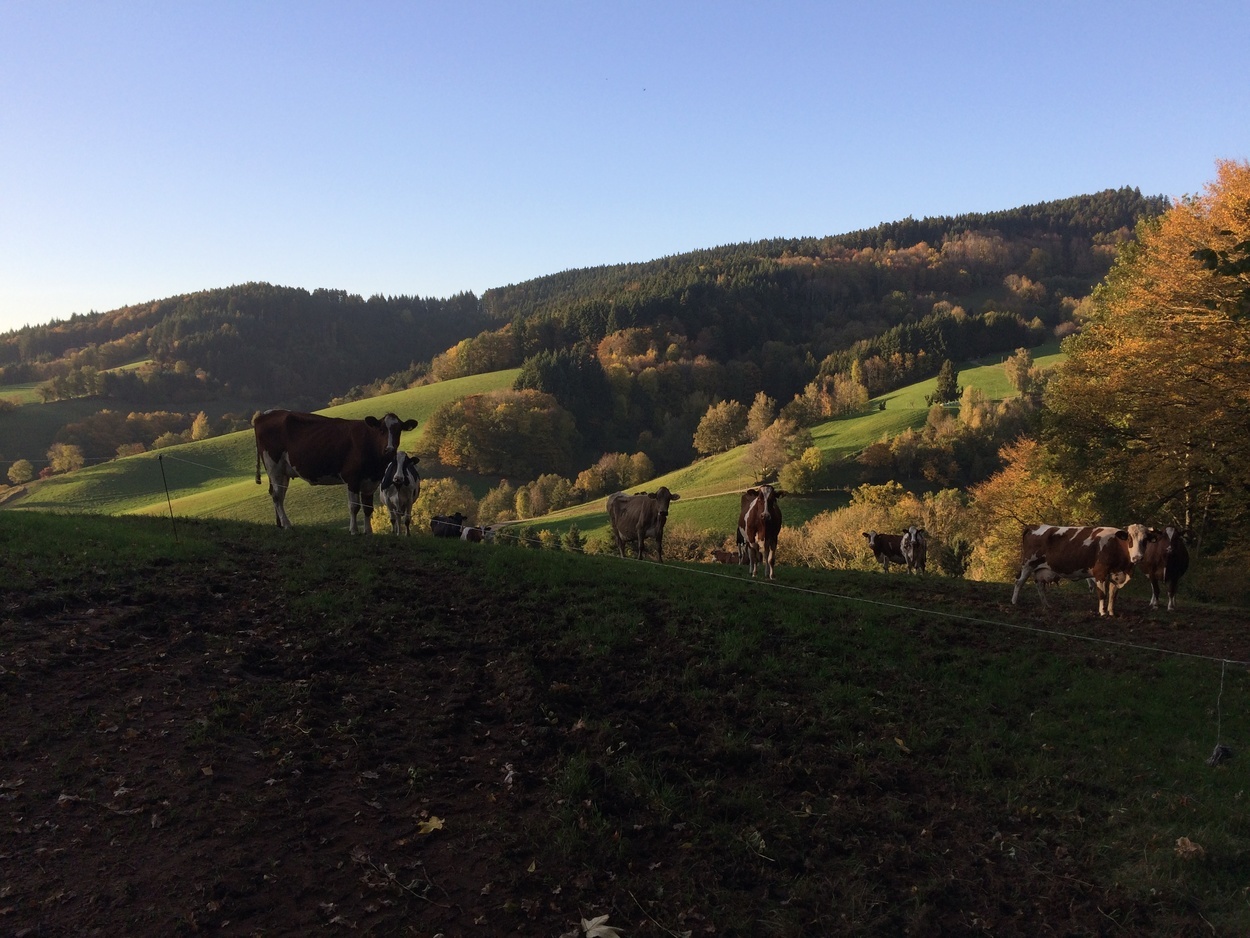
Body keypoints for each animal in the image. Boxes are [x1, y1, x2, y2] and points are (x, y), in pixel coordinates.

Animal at [253, 409, 418, 534]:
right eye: (382, 430)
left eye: (398, 431)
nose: (390, 449)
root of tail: (264, 415)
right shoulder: (352, 478)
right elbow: (354, 506)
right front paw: (354, 531)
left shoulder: (370, 481)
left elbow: (367, 508)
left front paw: (368, 532)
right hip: (274, 466)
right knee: (277, 496)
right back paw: (287, 524)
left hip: (283, 473)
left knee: (279, 495)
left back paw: (280, 524)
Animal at [1011, 523, 1155, 617]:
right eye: (1129, 538)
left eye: (1145, 540)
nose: (1138, 557)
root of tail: (1034, 526)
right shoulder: (1100, 572)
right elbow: (1102, 594)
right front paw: (1102, 612)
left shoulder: (1116, 574)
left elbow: (1113, 595)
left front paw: (1111, 612)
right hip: (1028, 564)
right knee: (1019, 582)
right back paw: (1014, 602)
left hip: (1040, 569)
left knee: (1040, 586)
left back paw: (1047, 605)